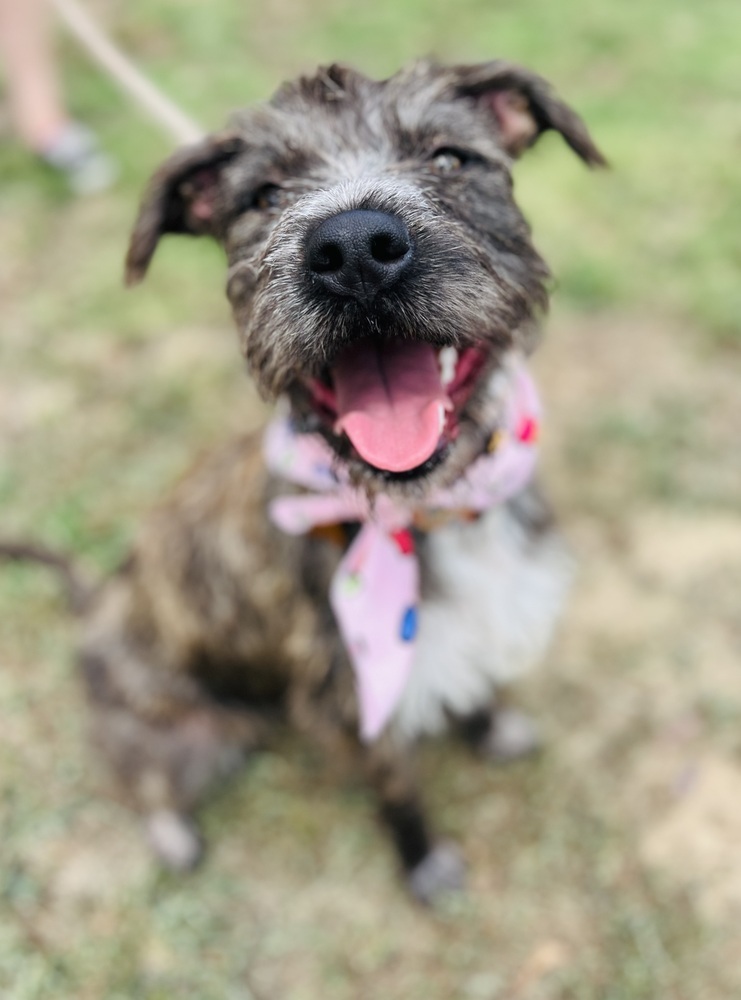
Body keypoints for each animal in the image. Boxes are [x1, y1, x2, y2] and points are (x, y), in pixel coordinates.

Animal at [0, 62, 604, 908]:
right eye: (264, 195)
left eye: (449, 158)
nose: (353, 249)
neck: (427, 514)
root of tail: (99, 603)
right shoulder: (350, 699)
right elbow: (397, 788)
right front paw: (422, 862)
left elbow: (476, 682)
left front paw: (490, 726)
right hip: (177, 731)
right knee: (143, 780)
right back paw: (171, 831)